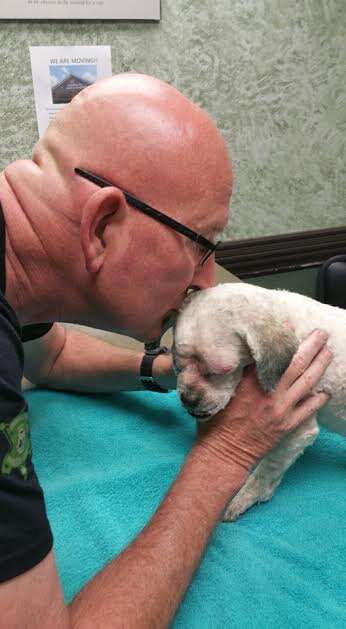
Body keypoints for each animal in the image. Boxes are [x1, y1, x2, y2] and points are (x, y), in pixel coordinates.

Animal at [174, 284, 344, 520]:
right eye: (178, 366)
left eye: (218, 372)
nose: (188, 398)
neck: (278, 315)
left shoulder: (298, 429)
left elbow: (267, 469)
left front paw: (244, 498)